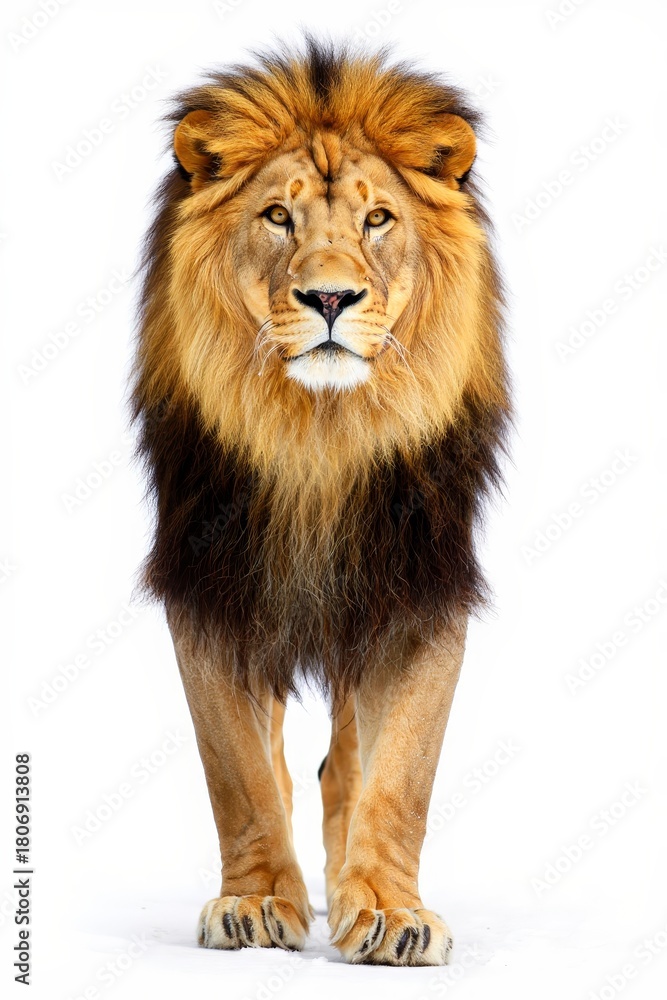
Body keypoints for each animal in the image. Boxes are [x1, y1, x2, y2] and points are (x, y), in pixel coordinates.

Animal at [132, 39, 509, 967]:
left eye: (377, 220)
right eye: (277, 216)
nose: (331, 299)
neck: (319, 437)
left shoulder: (420, 587)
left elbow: (400, 775)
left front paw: (390, 910)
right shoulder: (209, 585)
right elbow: (237, 771)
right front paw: (256, 900)